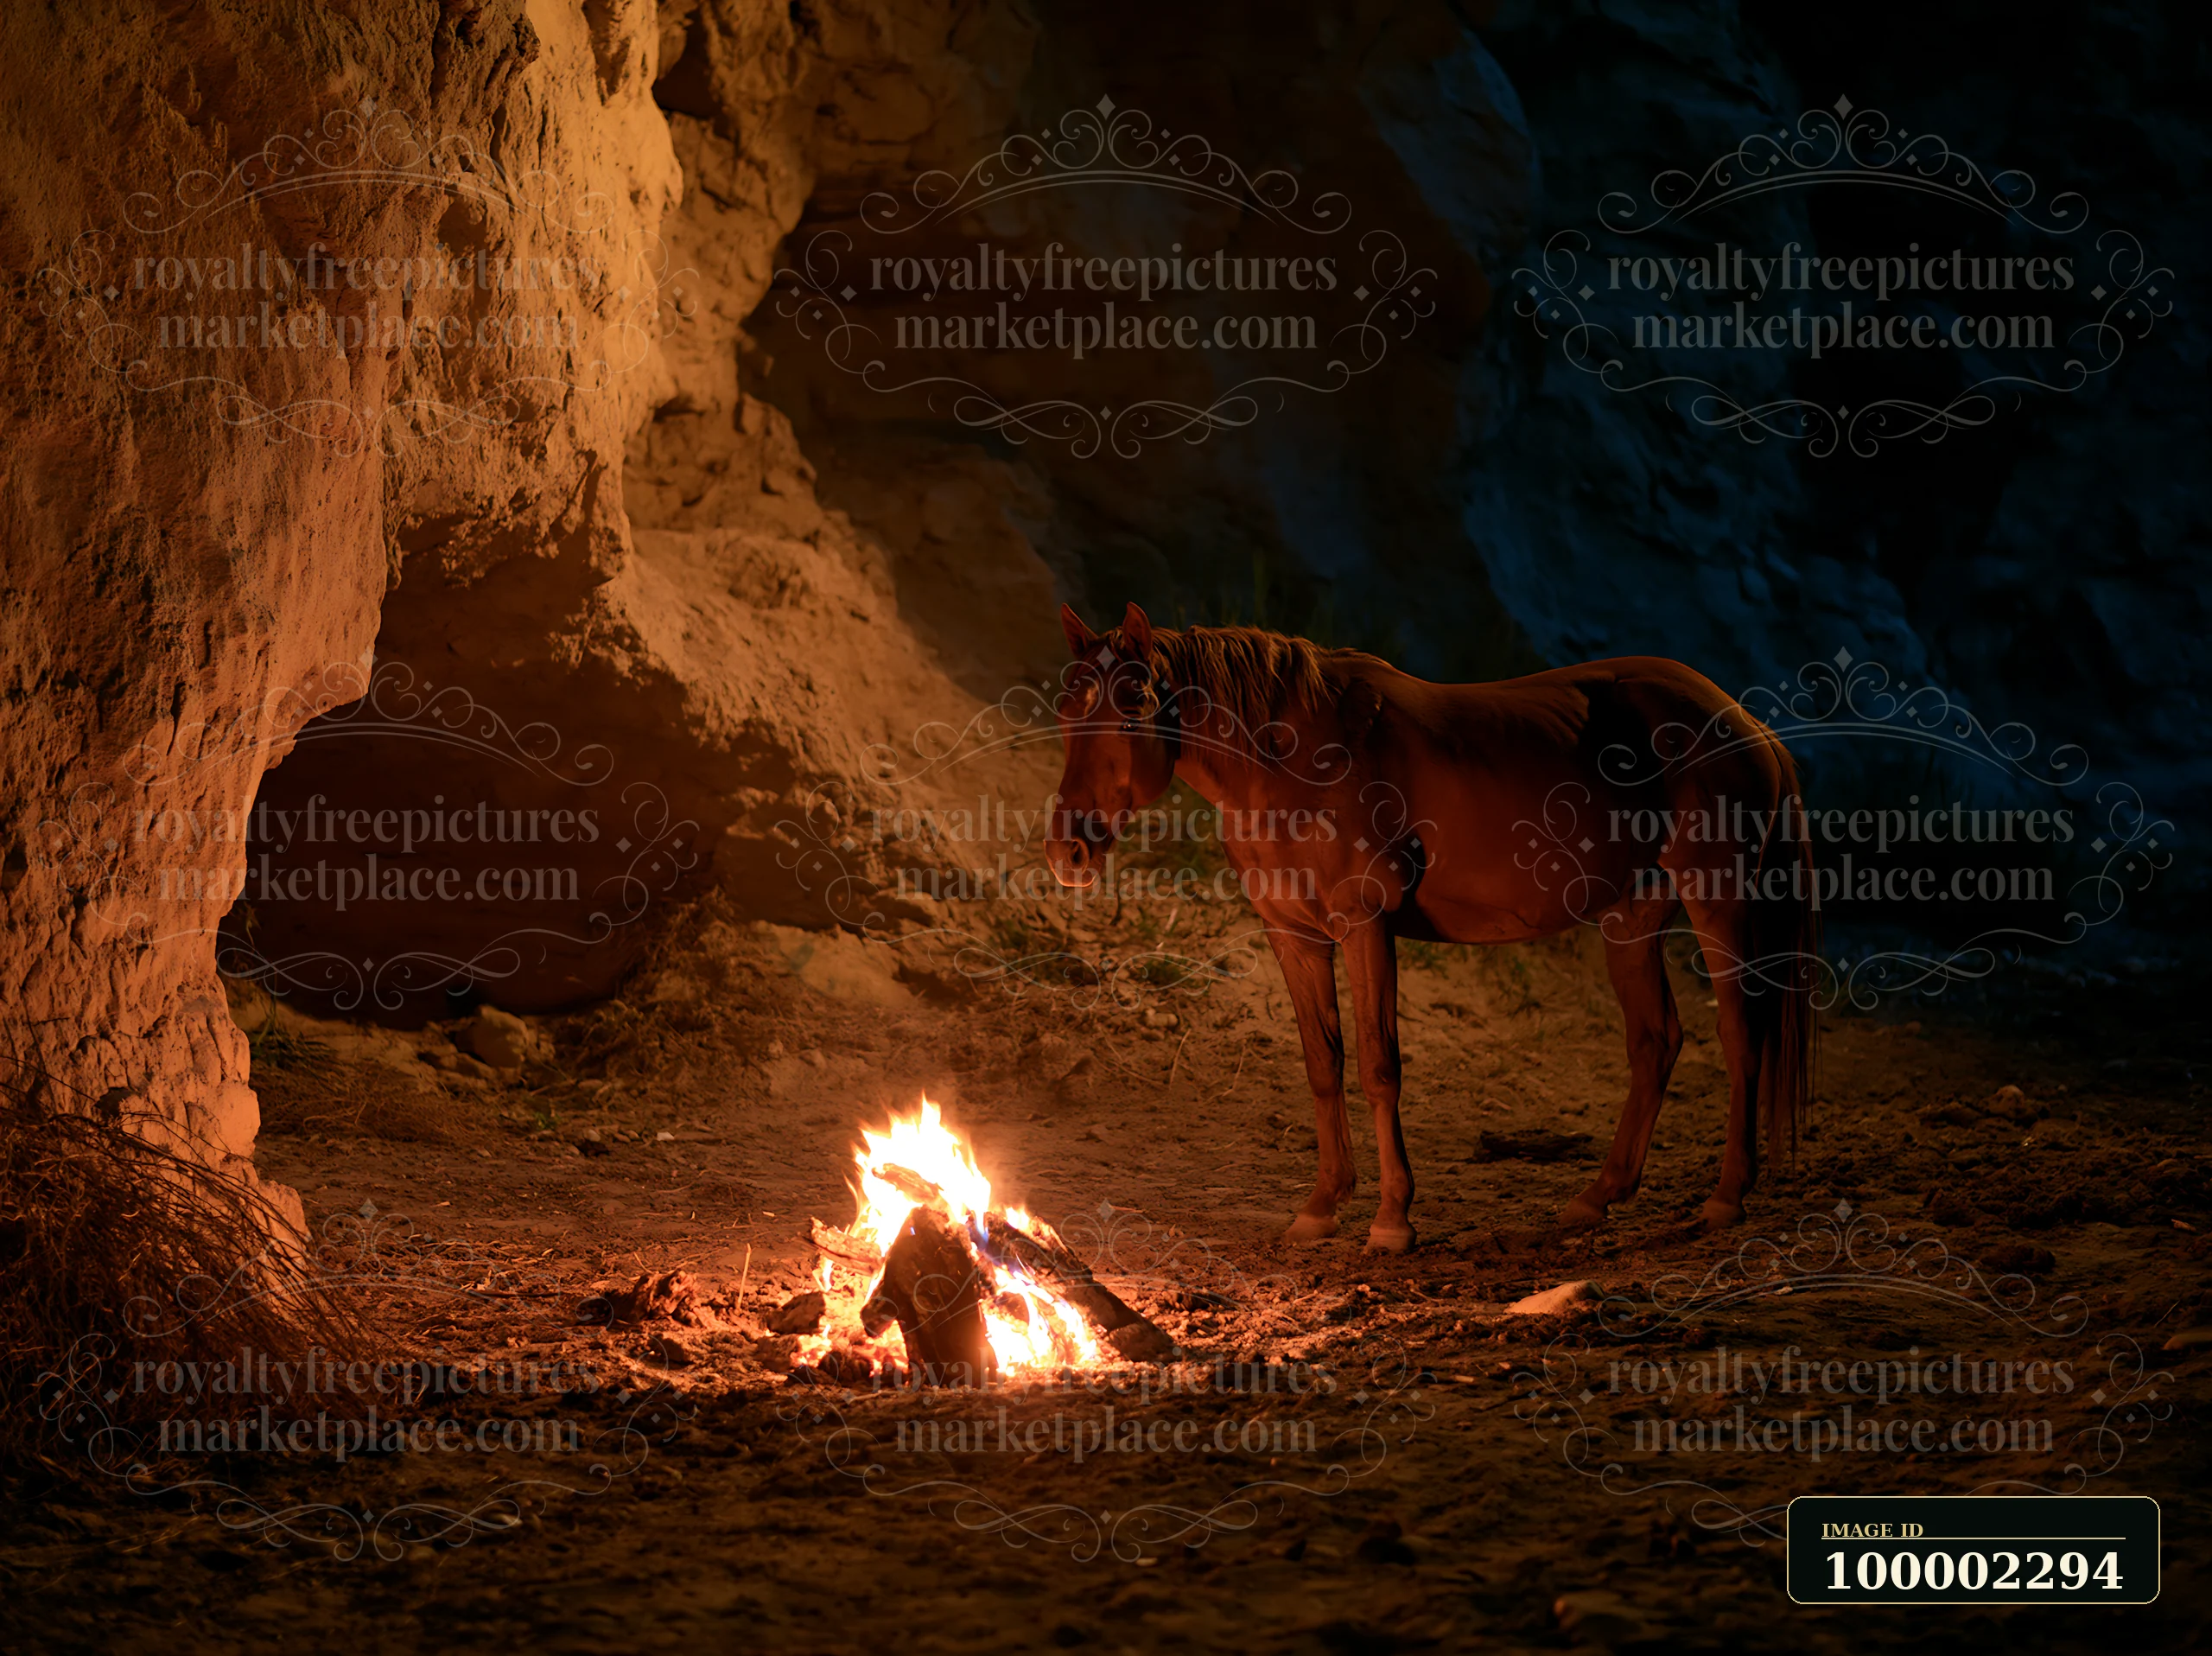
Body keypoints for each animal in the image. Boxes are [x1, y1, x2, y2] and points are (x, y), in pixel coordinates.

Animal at [1044, 603, 1818, 1252]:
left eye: (1133, 708)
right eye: (1065, 709)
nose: (1068, 851)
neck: (1297, 759)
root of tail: (1746, 723)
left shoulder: (1366, 926)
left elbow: (1379, 1068)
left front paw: (1392, 1220)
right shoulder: (1296, 939)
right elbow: (1323, 1066)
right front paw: (1321, 1208)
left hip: (1719, 900)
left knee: (1741, 1033)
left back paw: (1725, 1198)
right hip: (1631, 916)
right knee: (1655, 1043)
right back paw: (1596, 1197)